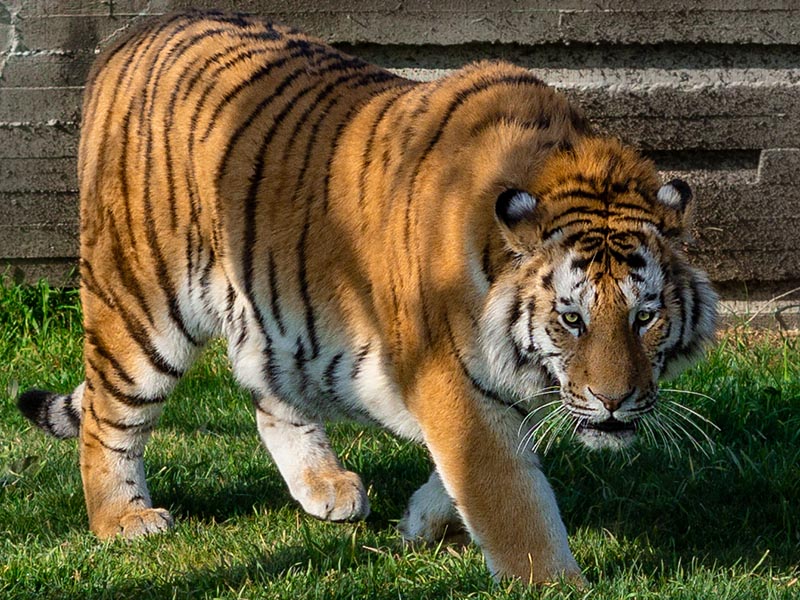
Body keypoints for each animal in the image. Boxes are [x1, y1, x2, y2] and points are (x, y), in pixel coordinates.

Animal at [17, 8, 720, 580]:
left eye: (646, 316)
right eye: (572, 319)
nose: (614, 402)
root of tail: (131, 33)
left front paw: (424, 521)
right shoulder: (449, 379)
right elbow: (511, 498)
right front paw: (554, 584)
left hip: (266, 305)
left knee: (268, 394)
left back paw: (325, 485)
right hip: (140, 303)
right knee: (106, 417)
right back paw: (123, 521)